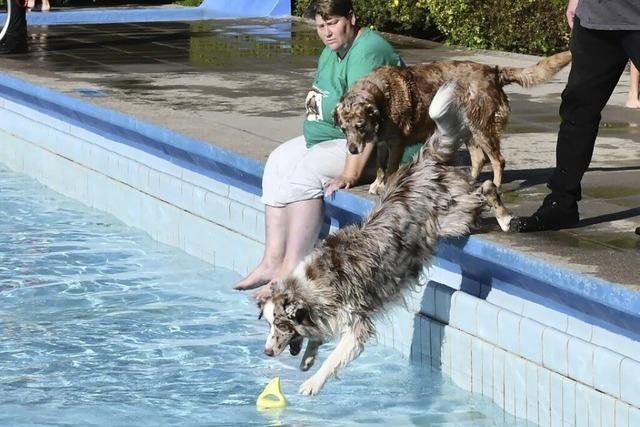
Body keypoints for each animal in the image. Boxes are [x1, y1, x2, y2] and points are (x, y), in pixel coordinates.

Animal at [258, 83, 512, 398]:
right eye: (269, 324)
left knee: (486, 188)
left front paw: (312, 383)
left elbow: (334, 359)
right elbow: (317, 339)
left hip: (453, 218)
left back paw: (504, 218)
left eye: (281, 324)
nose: (267, 352)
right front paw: (308, 358)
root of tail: (422, 163)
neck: (311, 287)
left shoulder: (357, 325)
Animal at [332, 50, 572, 196]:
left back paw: (495, 185)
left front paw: (386, 186)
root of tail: (494, 72)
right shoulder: (382, 144)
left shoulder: (396, 143)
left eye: (360, 126)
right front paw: (377, 184)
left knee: (497, 161)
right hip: (470, 132)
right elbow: (381, 167)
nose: (352, 150)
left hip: (483, 129)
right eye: (344, 129)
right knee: (478, 159)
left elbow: (390, 168)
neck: (381, 97)